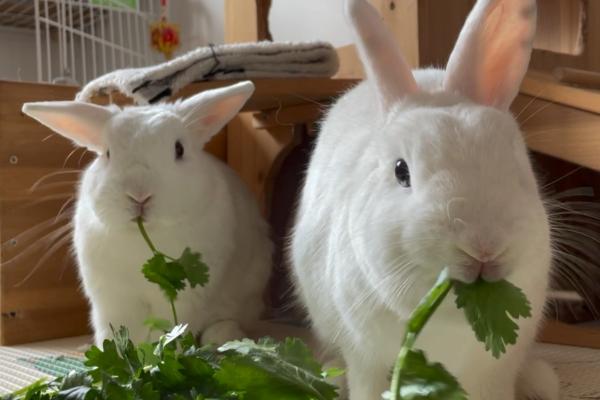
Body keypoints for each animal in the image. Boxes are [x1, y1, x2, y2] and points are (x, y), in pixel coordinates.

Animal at [22, 80, 274, 344]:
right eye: (108, 153)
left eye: (179, 149)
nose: (139, 195)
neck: (145, 237)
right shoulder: (112, 299)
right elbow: (118, 329)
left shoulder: (186, 297)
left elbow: (172, 324)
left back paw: (222, 336)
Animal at [292, 0, 560, 400]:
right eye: (401, 171)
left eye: (516, 160)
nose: (483, 246)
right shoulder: (365, 356)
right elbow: (366, 384)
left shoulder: (494, 372)